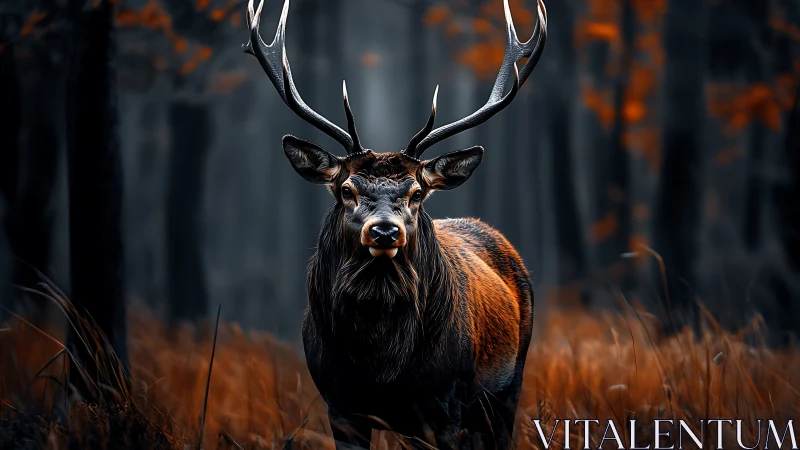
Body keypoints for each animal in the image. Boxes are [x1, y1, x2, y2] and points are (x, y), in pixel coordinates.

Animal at [242, 0, 546, 448]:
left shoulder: (445, 404)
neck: (383, 368)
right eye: (346, 189)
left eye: (417, 193)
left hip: (508, 386)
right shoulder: (340, 405)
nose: (384, 230)